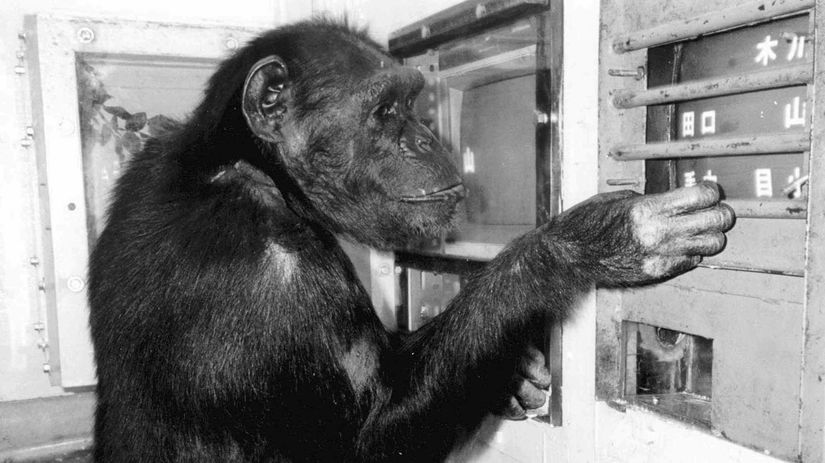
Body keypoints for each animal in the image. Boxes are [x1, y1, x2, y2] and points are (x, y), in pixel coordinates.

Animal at [87, 19, 734, 462]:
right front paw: (585, 243)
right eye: (385, 109)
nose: (425, 136)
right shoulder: (265, 278)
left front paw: (515, 372)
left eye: (412, 102)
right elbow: (370, 437)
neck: (258, 173)